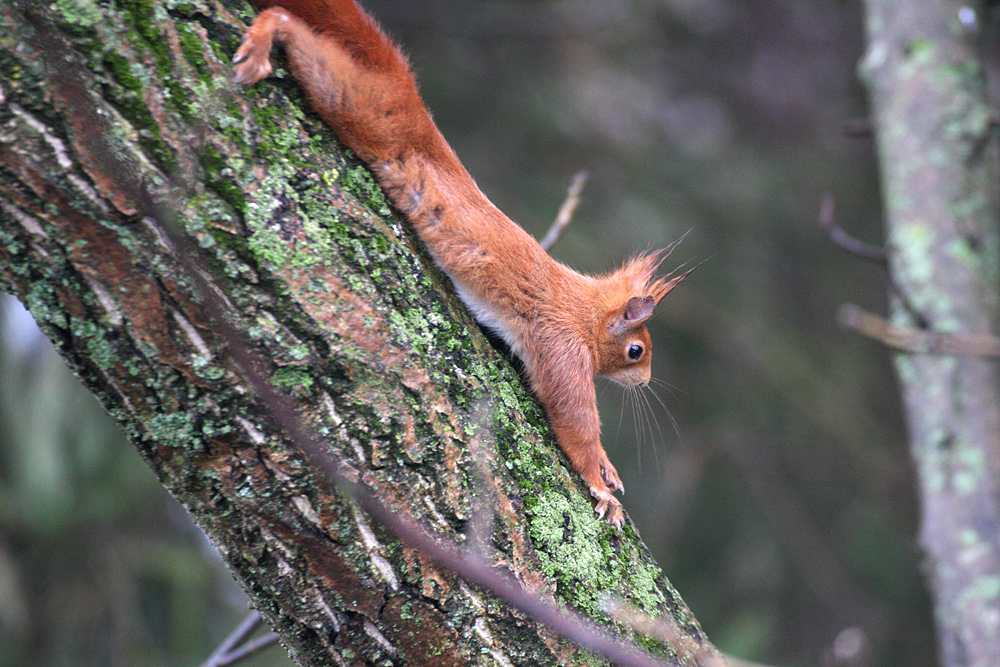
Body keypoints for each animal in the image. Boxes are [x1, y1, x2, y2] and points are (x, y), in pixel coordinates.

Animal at [232, 1, 696, 532]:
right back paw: (264, 38)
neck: (584, 311)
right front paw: (599, 482)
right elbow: (574, 420)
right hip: (360, 106)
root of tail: (411, 104)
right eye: (637, 351)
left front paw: (607, 469)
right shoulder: (562, 349)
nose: (645, 382)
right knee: (298, 35)